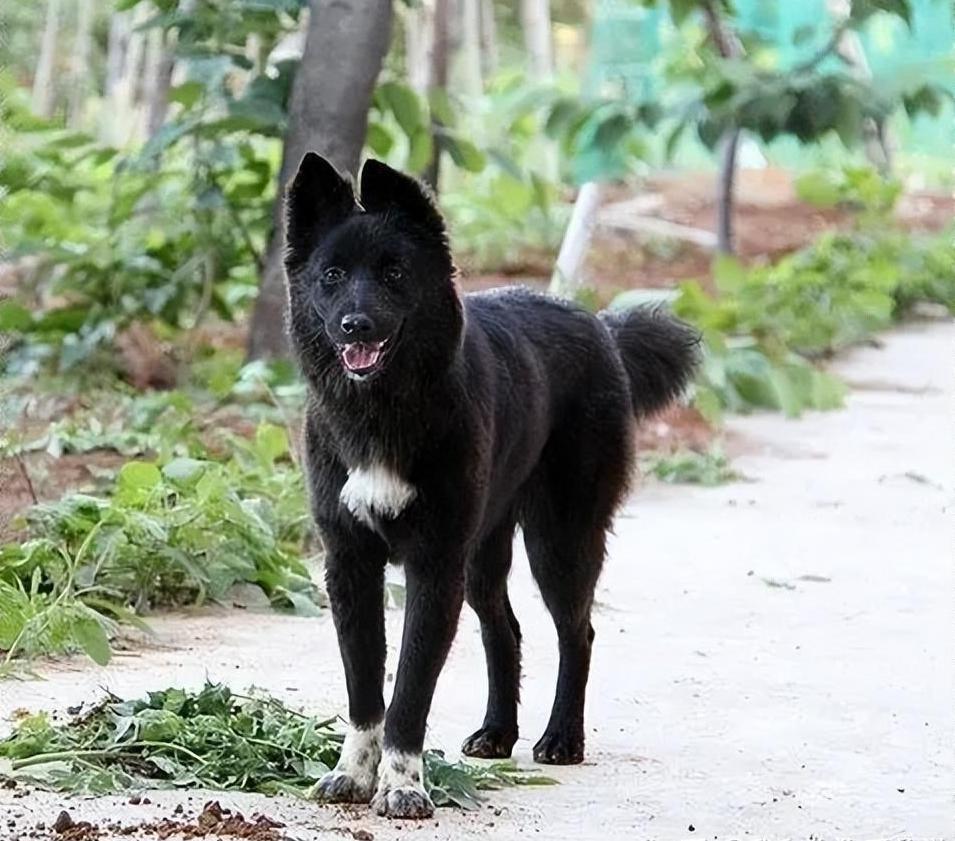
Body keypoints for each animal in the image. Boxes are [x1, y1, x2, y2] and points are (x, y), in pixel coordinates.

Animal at [288, 151, 700, 812]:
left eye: (395, 272)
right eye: (331, 275)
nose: (355, 325)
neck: (383, 410)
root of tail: (601, 327)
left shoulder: (434, 567)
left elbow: (410, 689)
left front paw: (402, 785)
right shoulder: (350, 565)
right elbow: (364, 685)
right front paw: (353, 773)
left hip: (559, 541)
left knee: (577, 632)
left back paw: (561, 738)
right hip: (483, 555)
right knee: (504, 629)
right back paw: (498, 733)